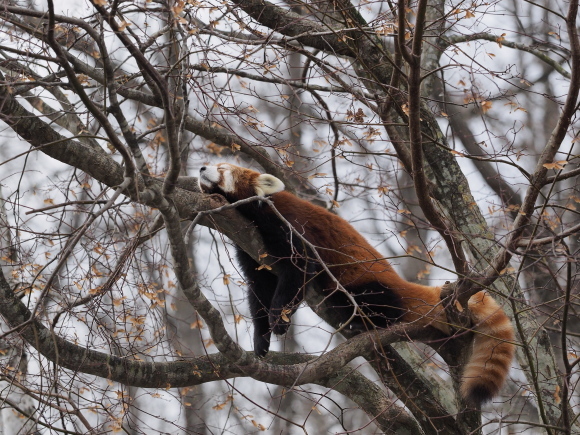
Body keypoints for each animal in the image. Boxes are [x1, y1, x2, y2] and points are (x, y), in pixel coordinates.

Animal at [201, 163, 516, 406]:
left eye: (222, 168)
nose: (202, 168)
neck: (250, 216)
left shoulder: (287, 226)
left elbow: (298, 270)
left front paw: (279, 318)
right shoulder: (249, 246)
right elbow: (259, 289)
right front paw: (261, 337)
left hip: (368, 286)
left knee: (378, 304)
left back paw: (366, 323)